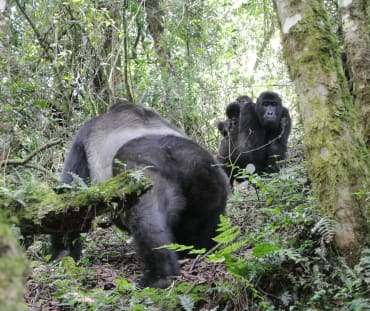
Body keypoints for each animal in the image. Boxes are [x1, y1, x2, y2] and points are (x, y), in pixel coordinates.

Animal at [50, 103, 228, 290]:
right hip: (210, 178)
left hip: (141, 176)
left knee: (146, 220)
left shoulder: (82, 137)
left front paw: (61, 253)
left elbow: (70, 195)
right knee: (209, 221)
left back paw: (159, 276)